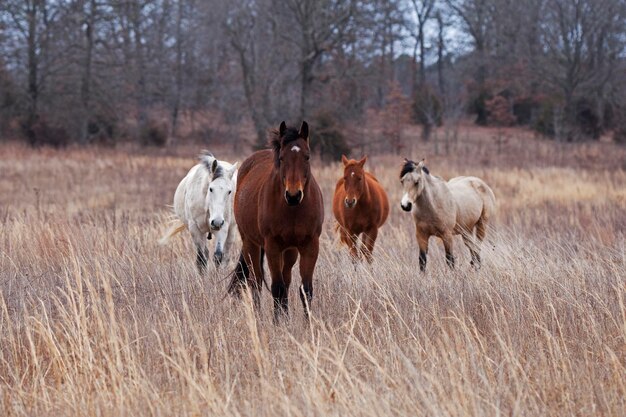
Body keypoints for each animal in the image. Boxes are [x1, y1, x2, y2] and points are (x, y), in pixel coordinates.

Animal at [225, 120, 322, 318]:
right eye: (282, 158)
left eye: (307, 157)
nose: (293, 195)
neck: (293, 210)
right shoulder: (272, 246)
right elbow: (277, 287)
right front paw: (277, 322)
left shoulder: (310, 245)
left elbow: (305, 290)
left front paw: (307, 323)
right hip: (251, 244)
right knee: (256, 281)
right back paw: (259, 315)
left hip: (290, 251)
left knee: (286, 280)